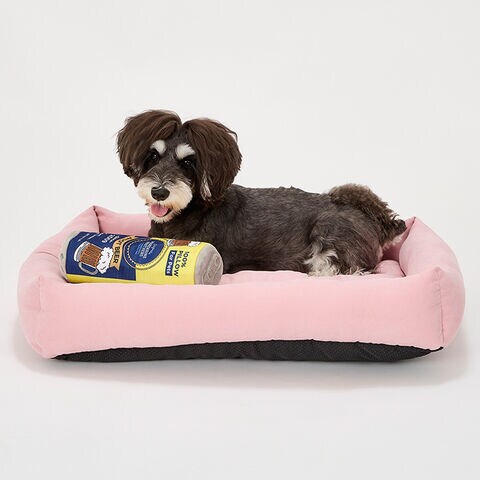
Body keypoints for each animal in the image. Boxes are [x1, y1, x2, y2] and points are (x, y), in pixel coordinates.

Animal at [117, 110, 406, 275]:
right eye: (153, 156)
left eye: (188, 163)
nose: (159, 191)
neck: (189, 213)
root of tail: (376, 221)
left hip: (330, 235)